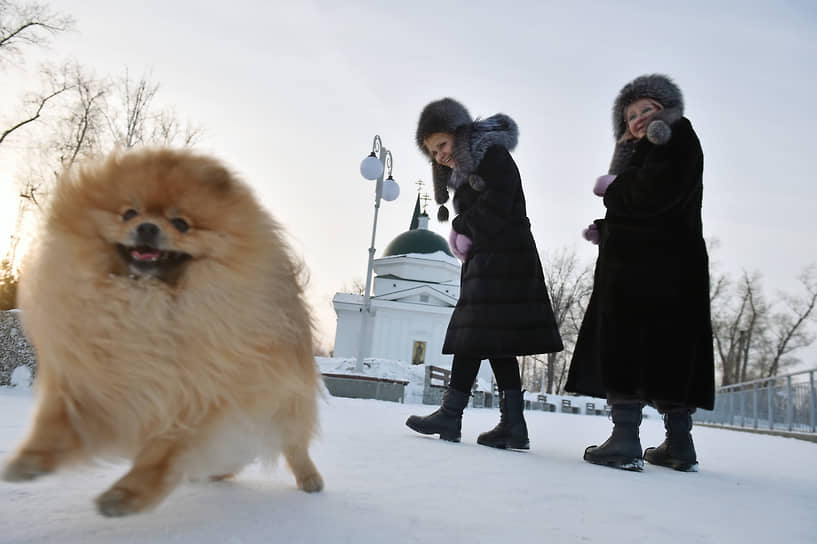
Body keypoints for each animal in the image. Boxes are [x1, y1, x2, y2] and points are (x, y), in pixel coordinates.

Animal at [1, 148, 324, 516]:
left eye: (181, 223)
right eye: (129, 213)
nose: (147, 226)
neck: (143, 305)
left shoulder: (202, 399)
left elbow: (163, 452)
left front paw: (126, 495)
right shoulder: (91, 383)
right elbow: (55, 424)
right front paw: (29, 461)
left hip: (286, 405)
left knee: (293, 445)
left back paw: (310, 479)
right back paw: (220, 474)